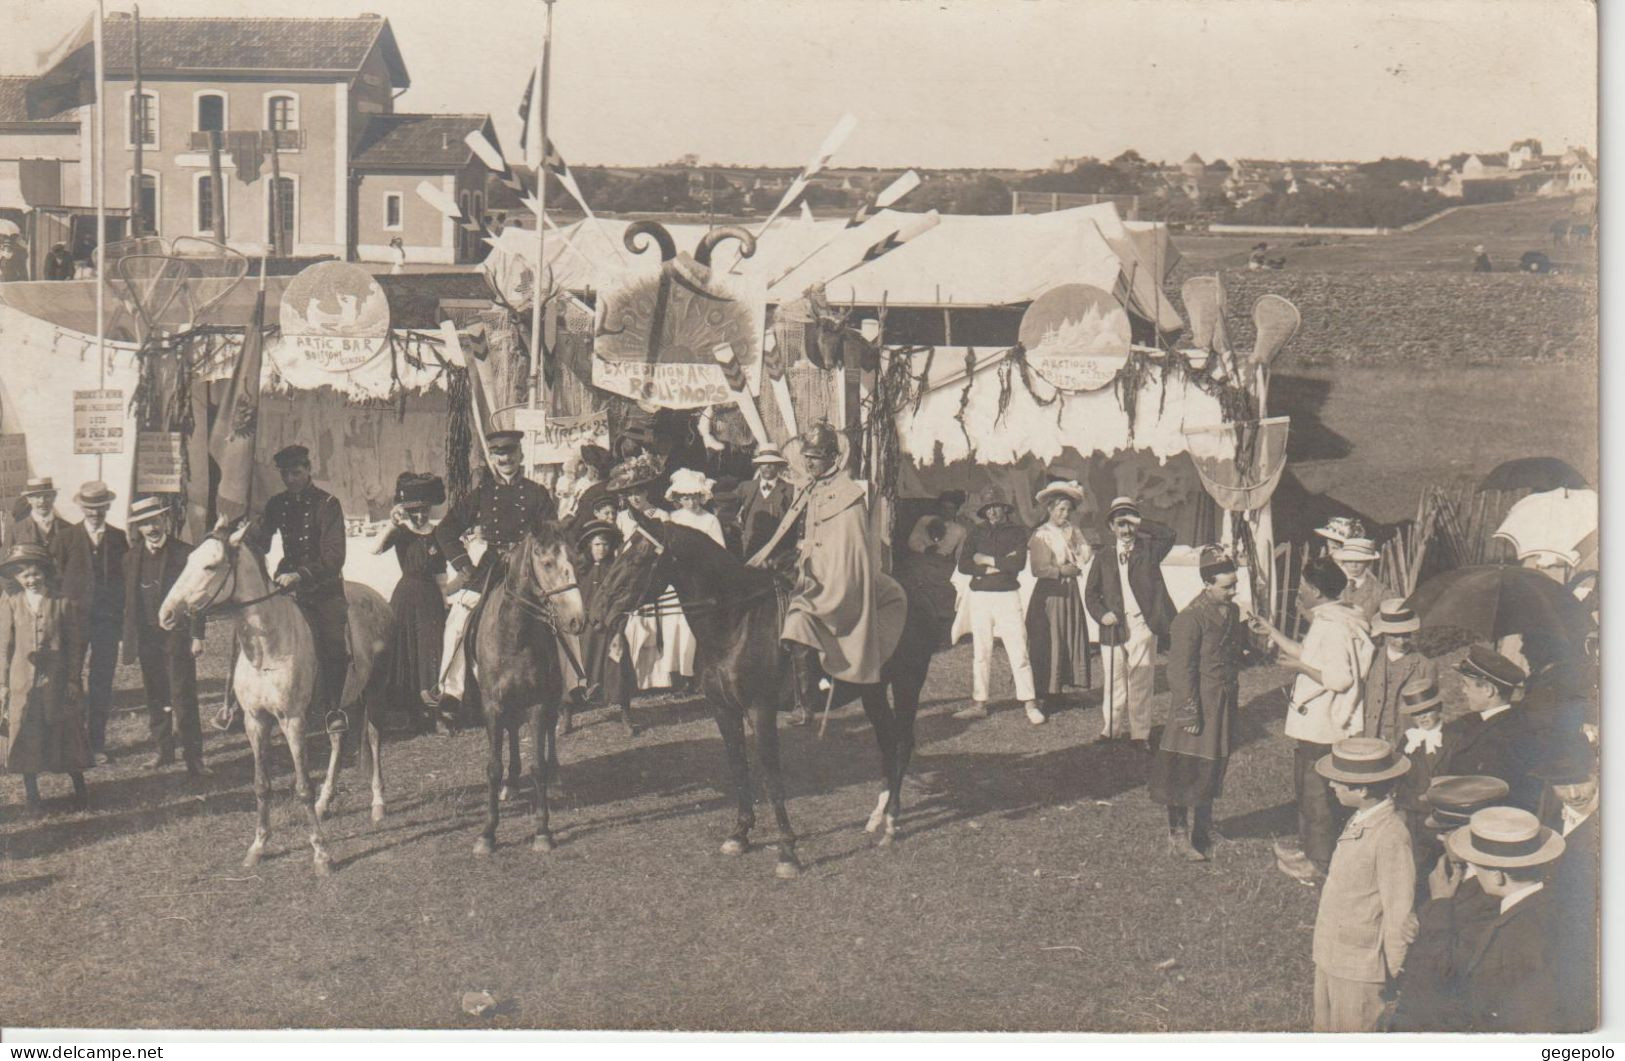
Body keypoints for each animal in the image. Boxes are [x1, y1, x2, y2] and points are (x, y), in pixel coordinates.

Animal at [160, 516, 394, 870]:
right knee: (339, 740)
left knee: (375, 738)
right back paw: (326, 801)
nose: (166, 614)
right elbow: (261, 784)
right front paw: (258, 846)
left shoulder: (292, 721)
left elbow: (302, 786)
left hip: (376, 690)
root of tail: (377, 598)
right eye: (188, 560)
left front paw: (321, 853)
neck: (267, 650)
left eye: (210, 565)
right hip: (337, 702)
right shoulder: (256, 721)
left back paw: (378, 803)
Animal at [468, 526, 588, 857]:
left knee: (550, 731)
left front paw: (542, 830)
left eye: (577, 560)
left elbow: (538, 766)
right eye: (546, 563)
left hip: (551, 696)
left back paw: (555, 775)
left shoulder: (537, 704)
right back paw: (511, 783)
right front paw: (487, 833)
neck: (514, 635)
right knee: (511, 731)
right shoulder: (492, 706)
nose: (577, 620)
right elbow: (493, 768)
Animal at [585, 510, 942, 877]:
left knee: (903, 741)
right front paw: (740, 834)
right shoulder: (723, 709)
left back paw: (891, 823)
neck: (736, 622)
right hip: (873, 691)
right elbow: (738, 766)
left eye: (637, 558)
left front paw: (787, 850)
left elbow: (771, 774)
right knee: (887, 741)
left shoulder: (761, 709)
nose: (596, 614)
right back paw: (876, 817)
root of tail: (915, 594)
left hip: (907, 682)